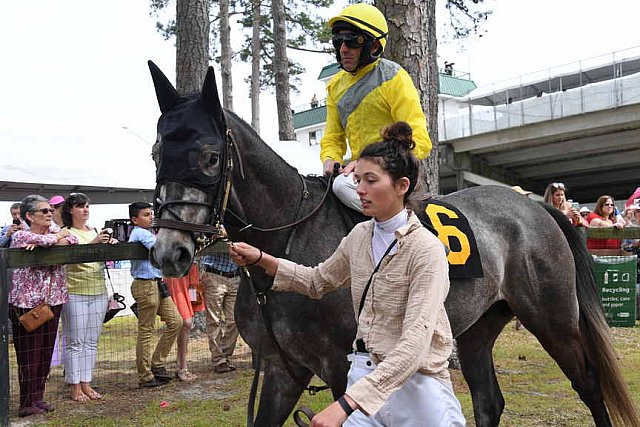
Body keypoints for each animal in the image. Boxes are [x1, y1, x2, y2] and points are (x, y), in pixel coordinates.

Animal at [146, 61, 640, 427]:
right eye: (156, 153)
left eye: (210, 156)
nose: (170, 252)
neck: (289, 239)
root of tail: (536, 206)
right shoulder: (281, 370)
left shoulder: (341, 369)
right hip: (479, 327)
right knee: (489, 401)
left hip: (554, 318)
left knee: (589, 385)